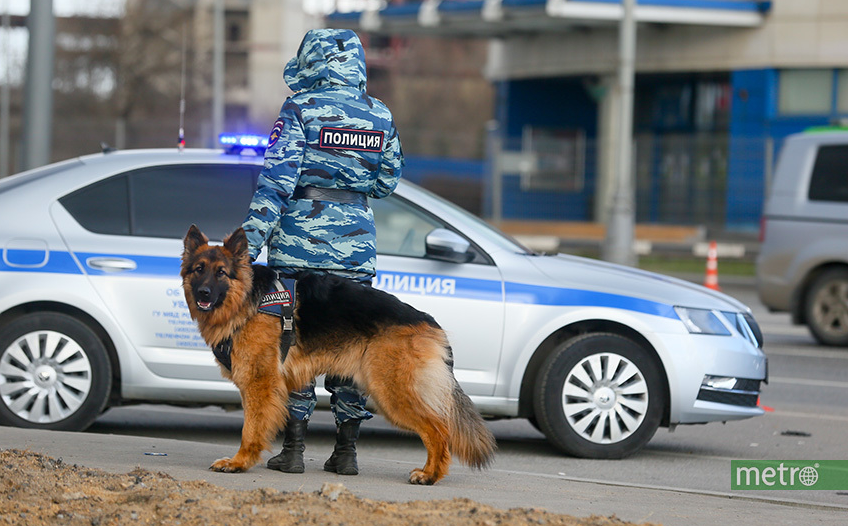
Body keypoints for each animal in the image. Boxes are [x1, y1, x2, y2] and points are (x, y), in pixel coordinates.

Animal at [181, 227, 496, 486]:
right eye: (198, 269)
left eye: (221, 273)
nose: (204, 293)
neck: (247, 299)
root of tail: (429, 321)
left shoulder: (259, 383)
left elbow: (251, 429)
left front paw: (239, 462)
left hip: (390, 392)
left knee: (439, 430)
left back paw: (430, 475)